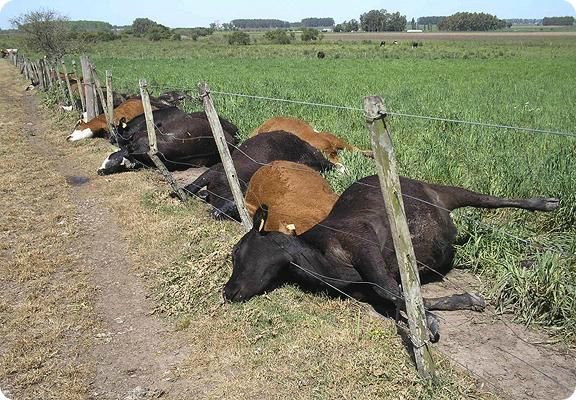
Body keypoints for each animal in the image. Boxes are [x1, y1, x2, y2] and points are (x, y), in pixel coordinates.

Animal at [222, 177, 560, 342]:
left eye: (238, 252)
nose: (228, 291)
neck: (320, 264)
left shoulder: (363, 240)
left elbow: (391, 291)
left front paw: (430, 323)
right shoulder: (368, 289)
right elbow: (402, 297)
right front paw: (462, 302)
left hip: (445, 190)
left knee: (490, 199)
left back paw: (546, 208)